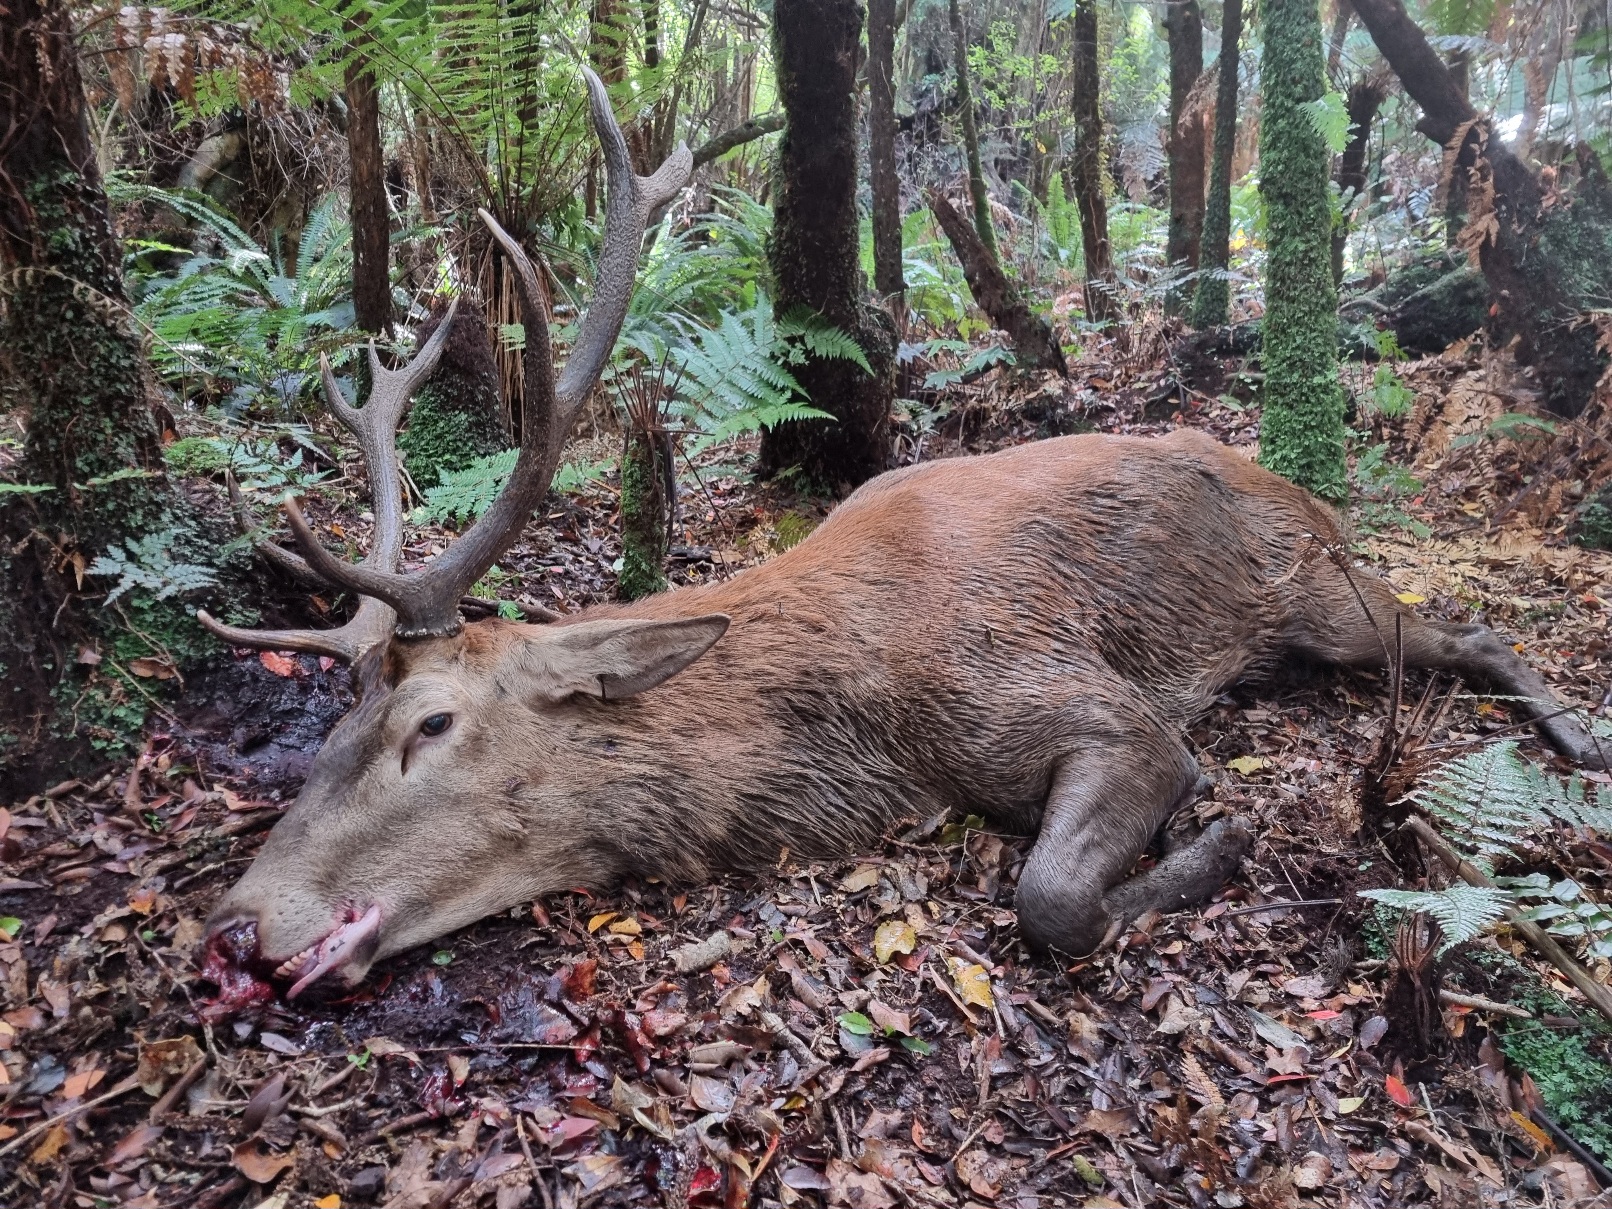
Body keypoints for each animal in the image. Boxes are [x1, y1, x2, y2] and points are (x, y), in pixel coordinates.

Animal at [195, 66, 1605, 1012]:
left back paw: (1576, 736)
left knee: (1463, 630)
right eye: (328, 728)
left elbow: (1051, 898)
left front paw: (1217, 836)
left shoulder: (1089, 705)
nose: (232, 927)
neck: (867, 726)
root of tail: (1296, 486)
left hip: (1317, 595)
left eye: (430, 723)